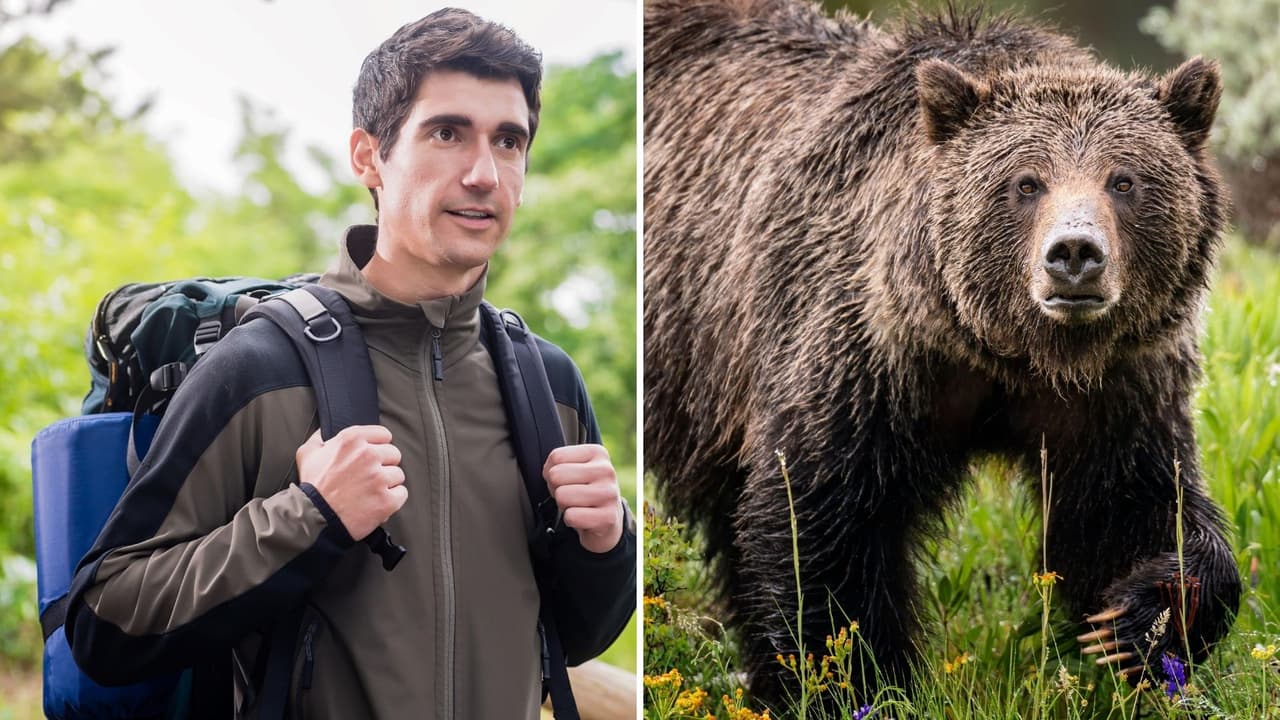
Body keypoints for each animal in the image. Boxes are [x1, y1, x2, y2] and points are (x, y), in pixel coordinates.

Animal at [643, 0, 1242, 706]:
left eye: (1124, 180)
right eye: (1026, 183)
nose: (1074, 254)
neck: (1005, 351)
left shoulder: (1115, 386)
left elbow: (1132, 504)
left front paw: (1133, 622)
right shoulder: (863, 360)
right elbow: (819, 524)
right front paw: (862, 680)